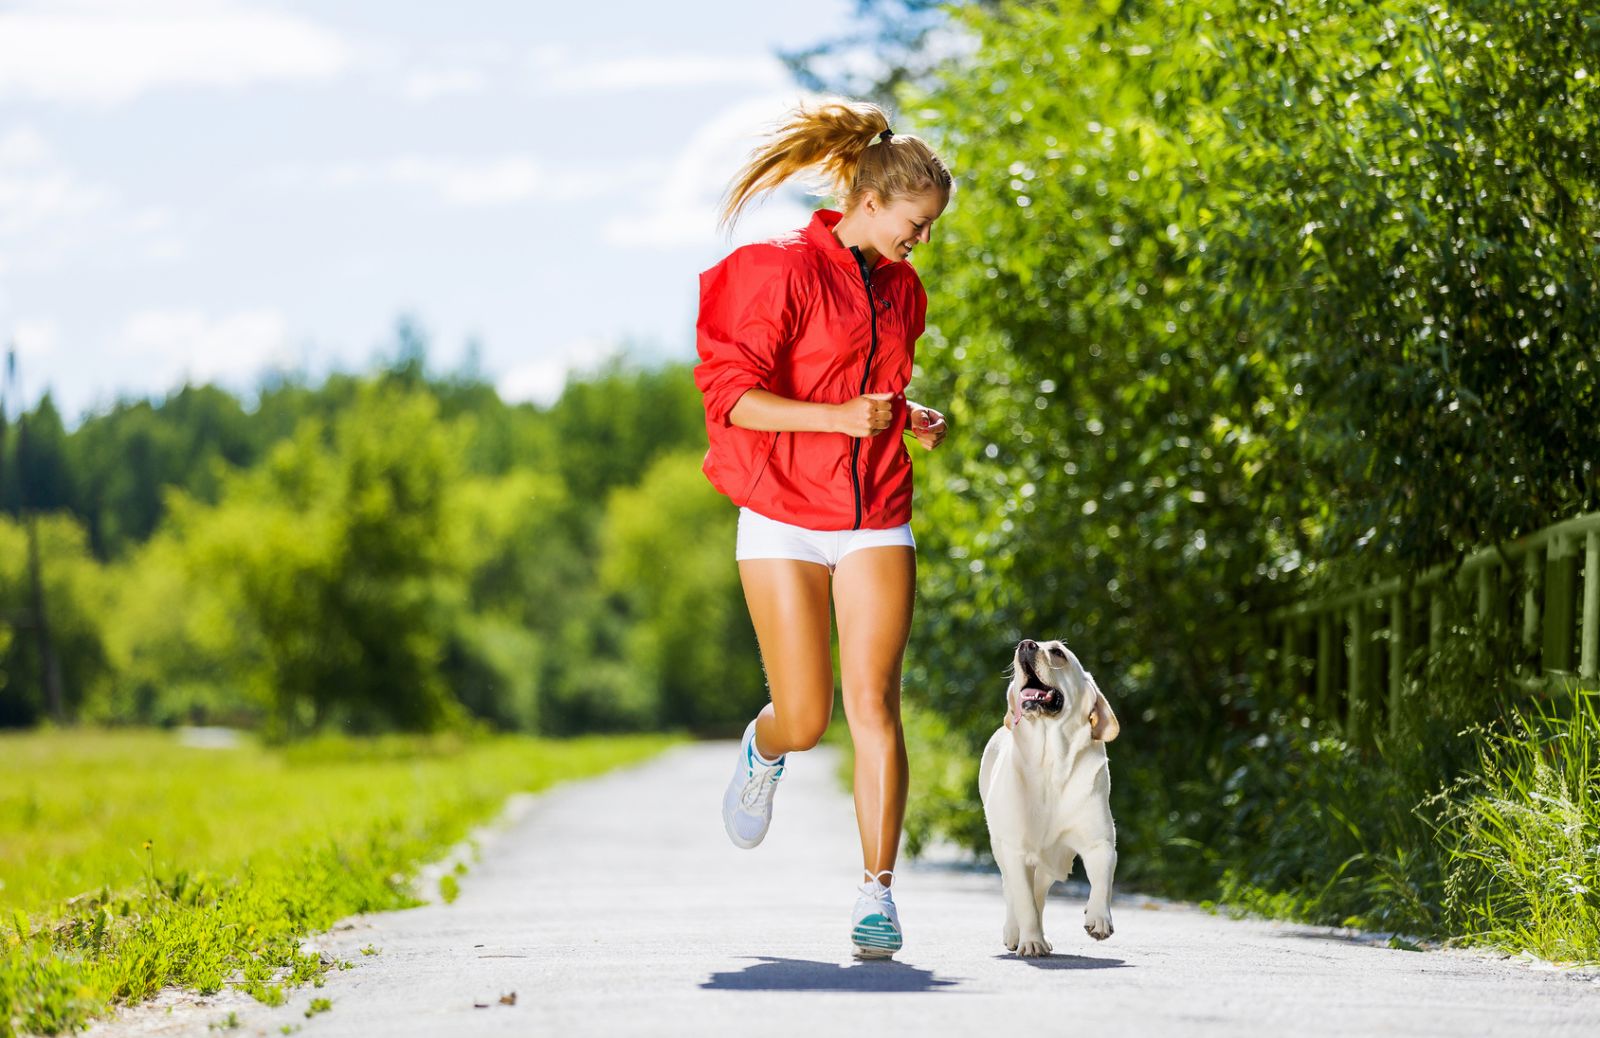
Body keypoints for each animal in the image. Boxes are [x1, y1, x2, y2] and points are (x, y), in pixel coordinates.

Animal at [972, 636, 1126, 959]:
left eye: (1058, 652)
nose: (1025, 644)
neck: (1050, 759)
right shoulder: (1015, 850)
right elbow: (1023, 901)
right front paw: (1030, 941)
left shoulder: (1099, 842)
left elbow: (1103, 880)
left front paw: (1098, 918)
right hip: (1002, 847)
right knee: (1014, 892)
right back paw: (1016, 933)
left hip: (1051, 863)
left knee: (1039, 893)